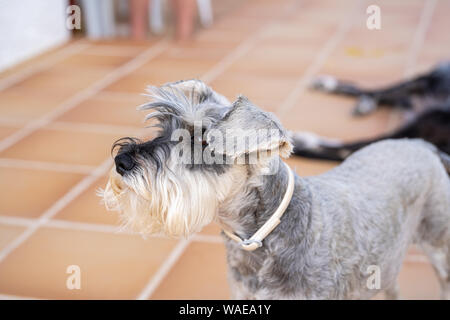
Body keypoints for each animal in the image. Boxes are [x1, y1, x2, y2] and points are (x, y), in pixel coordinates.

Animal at [101, 79, 450, 298]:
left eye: (203, 141)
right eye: (162, 127)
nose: (122, 161)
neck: (264, 235)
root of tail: (420, 144)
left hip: (440, 249)